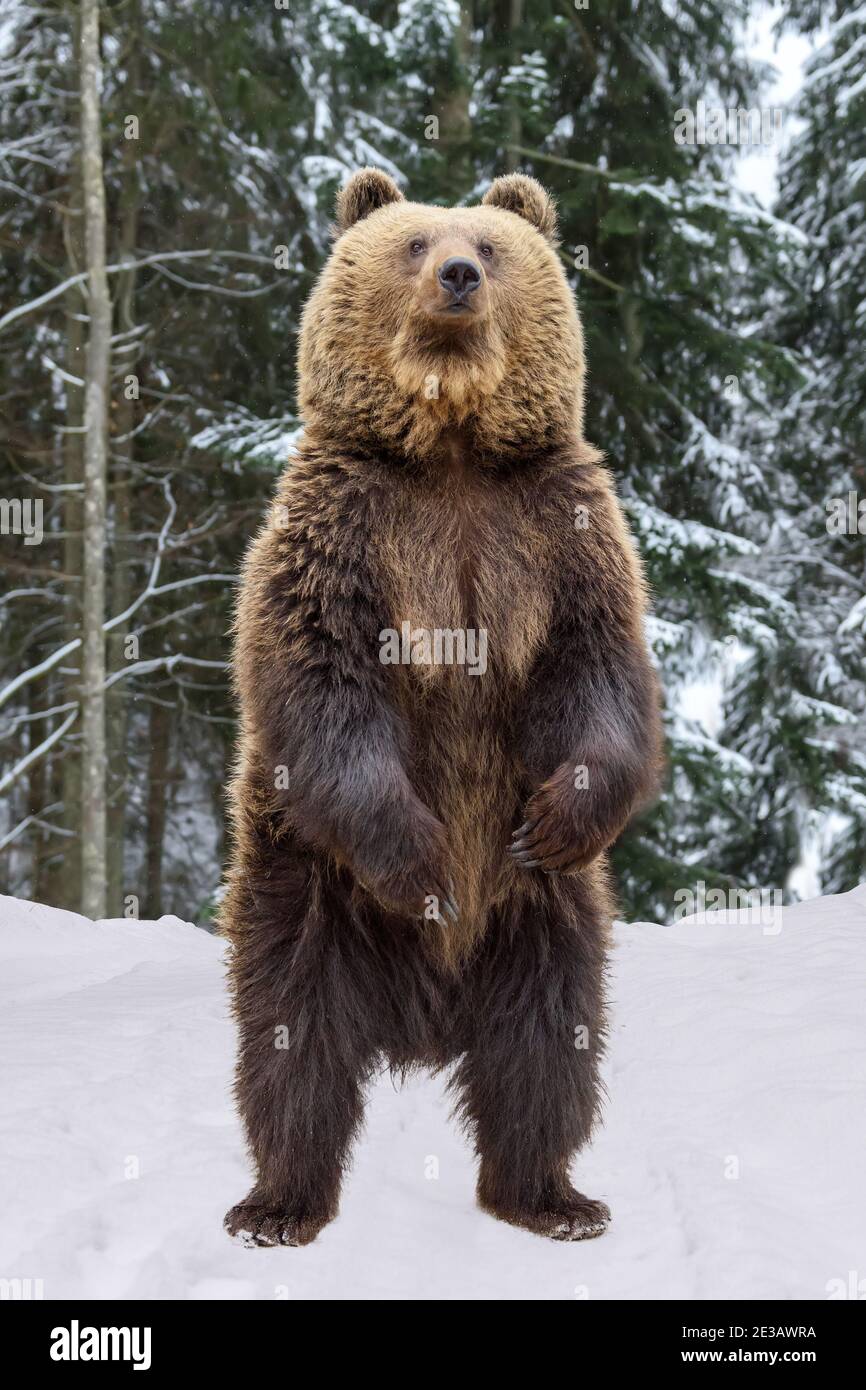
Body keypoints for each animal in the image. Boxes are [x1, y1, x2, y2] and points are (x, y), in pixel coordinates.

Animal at [219, 168, 661, 1245]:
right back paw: (278, 1202)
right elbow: (325, 686)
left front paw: (563, 813)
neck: (451, 444)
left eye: (490, 246)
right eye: (414, 241)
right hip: (307, 885)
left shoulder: (558, 534)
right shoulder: (342, 531)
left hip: (543, 917)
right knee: (290, 1042)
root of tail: (423, 1019)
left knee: (548, 1044)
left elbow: (597, 673)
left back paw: (550, 1195)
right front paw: (419, 856)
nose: (459, 274)